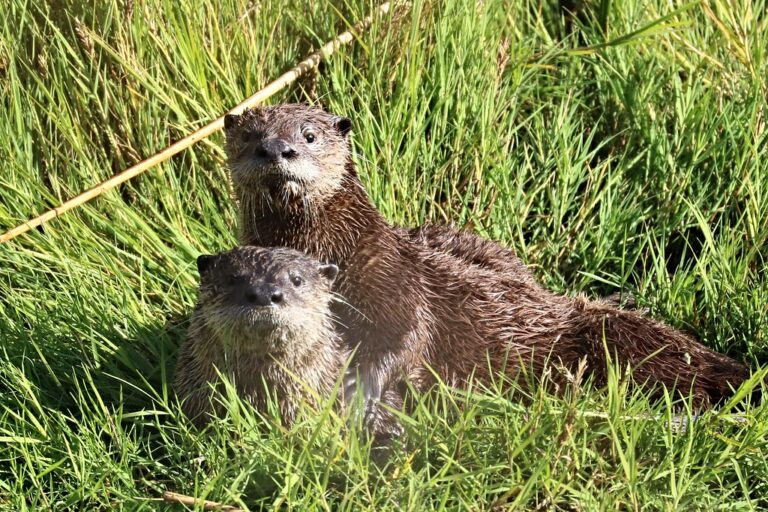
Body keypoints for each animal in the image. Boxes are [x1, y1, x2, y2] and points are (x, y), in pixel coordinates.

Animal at [222, 104, 750, 433]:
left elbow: (405, 335)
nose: (277, 150)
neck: (338, 247)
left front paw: (360, 385)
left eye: (309, 135)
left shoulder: (394, 276)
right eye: (249, 137)